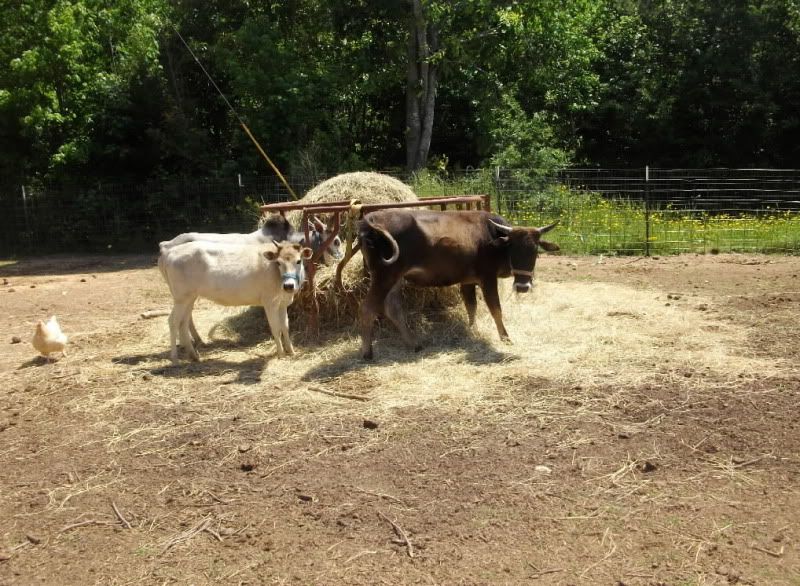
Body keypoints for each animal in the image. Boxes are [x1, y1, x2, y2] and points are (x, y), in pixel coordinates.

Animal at [159, 240, 312, 362]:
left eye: (299, 261)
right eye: (278, 263)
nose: (288, 286)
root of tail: (170, 252)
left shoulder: (283, 303)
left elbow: (285, 326)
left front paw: (291, 351)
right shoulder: (270, 302)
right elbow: (276, 328)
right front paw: (280, 354)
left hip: (190, 297)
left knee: (184, 321)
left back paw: (194, 356)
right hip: (181, 297)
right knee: (173, 321)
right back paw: (174, 358)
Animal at [357, 209, 559, 359]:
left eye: (535, 250)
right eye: (513, 248)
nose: (523, 287)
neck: (492, 238)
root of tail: (370, 220)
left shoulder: (468, 281)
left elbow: (471, 306)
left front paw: (473, 330)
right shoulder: (488, 278)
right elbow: (496, 309)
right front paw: (505, 337)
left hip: (395, 279)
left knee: (393, 309)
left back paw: (414, 344)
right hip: (384, 276)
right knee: (367, 309)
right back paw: (367, 352)